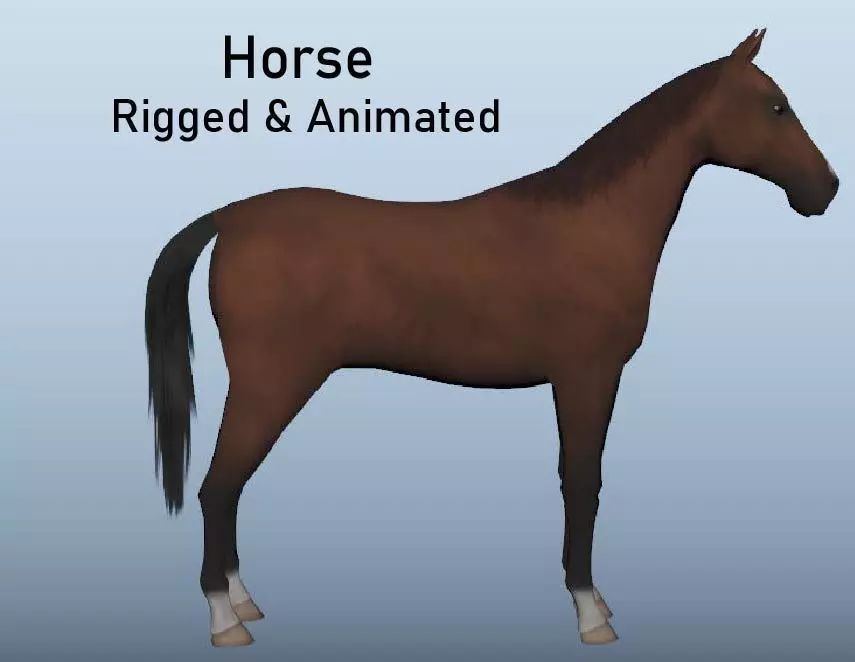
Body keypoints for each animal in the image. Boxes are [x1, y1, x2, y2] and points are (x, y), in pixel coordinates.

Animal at [144, 29, 838, 647]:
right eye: (776, 106)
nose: (825, 189)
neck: (596, 224)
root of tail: (230, 218)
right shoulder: (585, 374)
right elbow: (582, 482)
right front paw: (590, 612)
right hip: (271, 384)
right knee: (218, 488)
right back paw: (225, 622)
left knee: (229, 490)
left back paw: (244, 602)